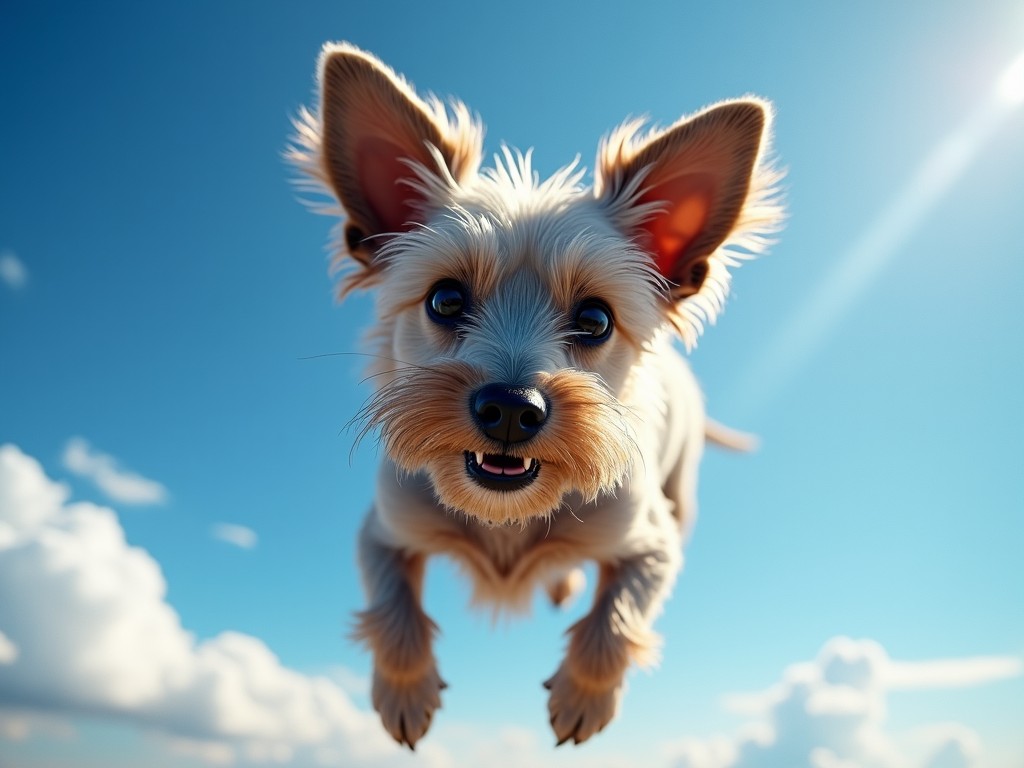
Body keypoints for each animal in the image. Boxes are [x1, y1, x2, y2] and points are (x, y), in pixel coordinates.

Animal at [288, 43, 782, 753]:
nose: (511, 409)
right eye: (445, 299)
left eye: (596, 319)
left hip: (680, 492)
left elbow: (618, 617)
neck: (509, 515)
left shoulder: (651, 542)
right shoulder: (383, 530)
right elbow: (392, 606)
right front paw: (404, 693)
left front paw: (583, 697)